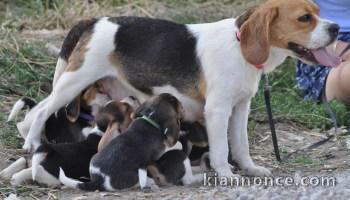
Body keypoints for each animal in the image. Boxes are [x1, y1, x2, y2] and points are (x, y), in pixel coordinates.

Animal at [19, 0, 340, 178]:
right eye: (304, 18)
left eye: (318, 11)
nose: (337, 28)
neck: (239, 45)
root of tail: (93, 21)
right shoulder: (218, 110)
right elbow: (222, 148)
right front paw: (226, 174)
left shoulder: (240, 108)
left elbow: (241, 145)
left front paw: (250, 168)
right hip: (73, 82)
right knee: (40, 112)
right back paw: (32, 143)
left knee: (37, 111)